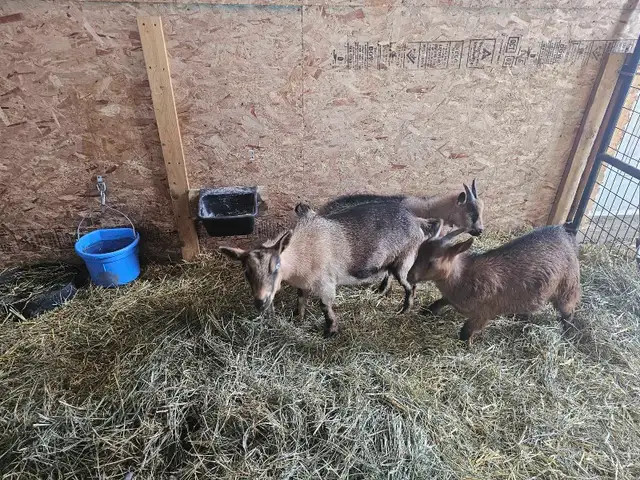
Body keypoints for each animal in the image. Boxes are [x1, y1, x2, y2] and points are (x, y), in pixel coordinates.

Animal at [220, 202, 442, 338]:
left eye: (275, 266)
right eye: (246, 271)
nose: (261, 302)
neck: (301, 253)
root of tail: (418, 222)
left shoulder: (325, 283)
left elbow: (325, 307)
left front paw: (330, 331)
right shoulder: (303, 283)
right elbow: (300, 299)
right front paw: (297, 317)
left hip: (405, 260)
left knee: (410, 285)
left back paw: (404, 309)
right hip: (390, 259)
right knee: (388, 273)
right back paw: (381, 290)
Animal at [407, 223, 581, 345]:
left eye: (432, 262)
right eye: (419, 252)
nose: (409, 276)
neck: (465, 276)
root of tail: (563, 234)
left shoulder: (484, 313)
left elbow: (466, 332)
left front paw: (468, 347)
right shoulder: (452, 298)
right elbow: (438, 303)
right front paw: (425, 311)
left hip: (568, 287)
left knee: (568, 313)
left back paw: (567, 334)